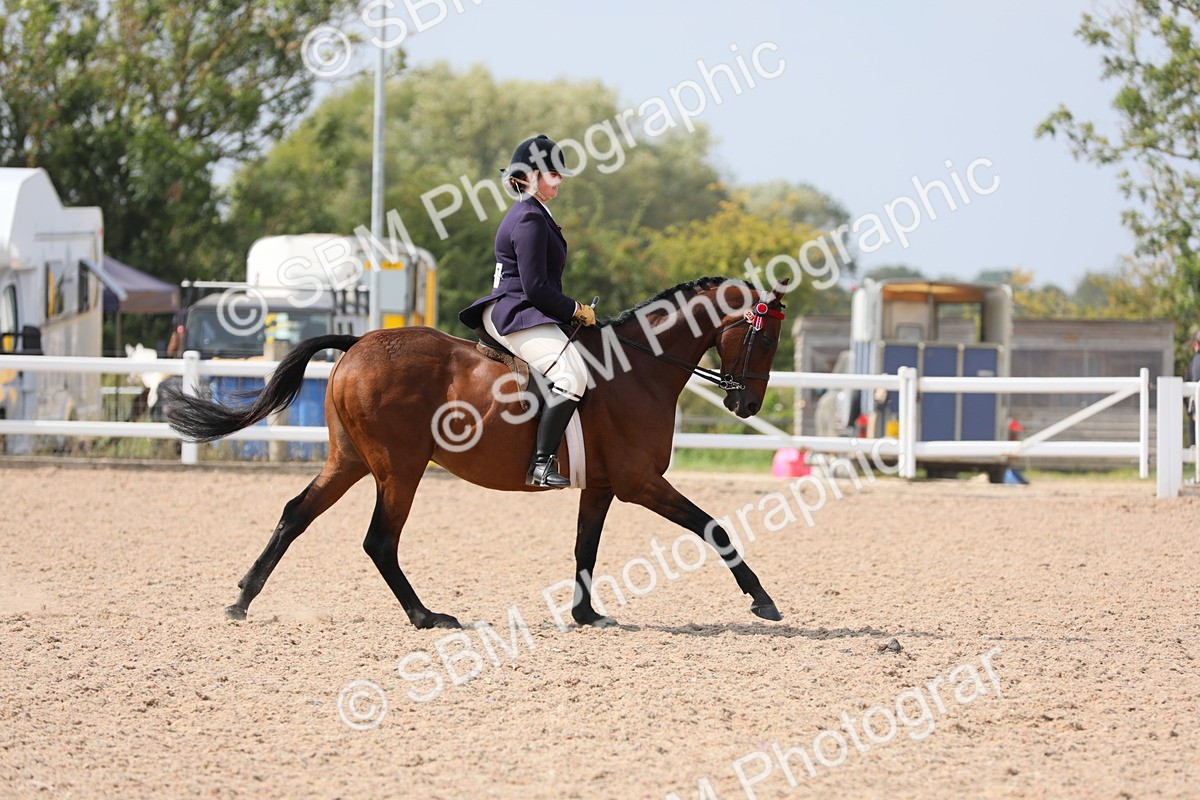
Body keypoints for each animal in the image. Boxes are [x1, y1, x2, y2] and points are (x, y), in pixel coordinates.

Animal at [163, 276, 790, 630]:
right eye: (764, 336)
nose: (748, 403)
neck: (639, 366)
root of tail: (359, 342)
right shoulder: (640, 483)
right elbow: (713, 527)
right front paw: (763, 601)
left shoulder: (603, 485)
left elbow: (585, 546)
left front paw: (586, 614)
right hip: (400, 467)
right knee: (379, 540)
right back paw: (426, 617)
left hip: (349, 461)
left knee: (295, 514)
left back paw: (242, 601)